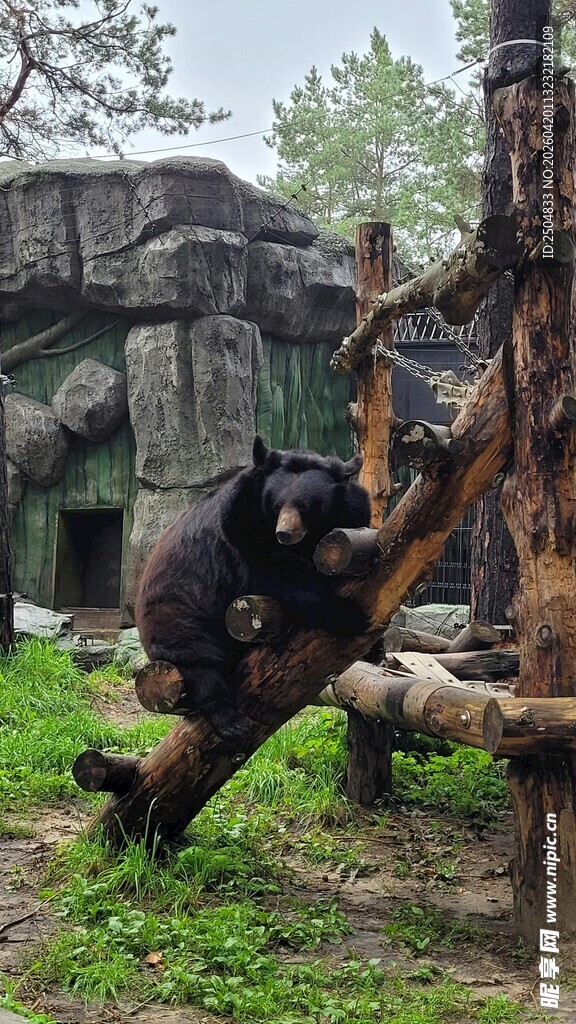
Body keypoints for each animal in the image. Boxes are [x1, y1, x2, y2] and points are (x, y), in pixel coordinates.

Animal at [135, 436, 372, 746]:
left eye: (307, 507)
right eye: (276, 505)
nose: (284, 533)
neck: (300, 546)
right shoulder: (239, 536)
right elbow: (277, 583)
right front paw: (353, 616)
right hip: (174, 611)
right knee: (198, 659)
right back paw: (231, 723)